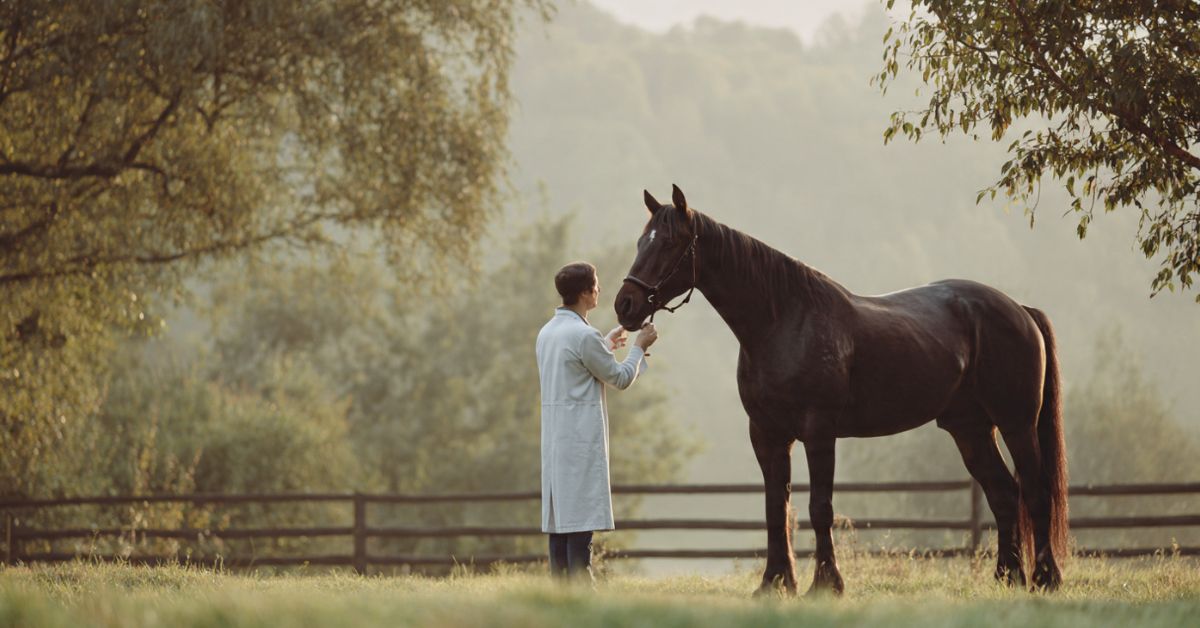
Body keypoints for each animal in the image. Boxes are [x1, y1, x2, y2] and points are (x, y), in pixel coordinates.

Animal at [614, 184, 1068, 596]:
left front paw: (827, 584)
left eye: (669, 242)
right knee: (1004, 494)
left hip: (1016, 423)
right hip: (970, 430)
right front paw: (775, 583)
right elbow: (775, 508)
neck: (783, 321)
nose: (625, 305)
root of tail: (1019, 309)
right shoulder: (767, 434)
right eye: (640, 241)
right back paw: (1008, 577)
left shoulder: (819, 432)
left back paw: (1046, 579)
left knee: (1035, 490)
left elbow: (820, 507)